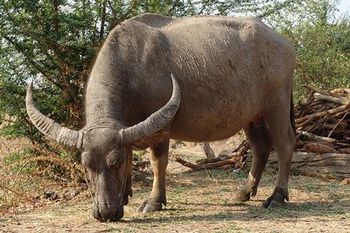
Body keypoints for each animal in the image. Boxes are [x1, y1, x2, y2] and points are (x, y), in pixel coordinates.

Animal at [26, 13, 296, 221]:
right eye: (86, 166)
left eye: (115, 163)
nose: (105, 213)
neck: (133, 67)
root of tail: (283, 42)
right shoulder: (127, 127)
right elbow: (131, 153)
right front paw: (126, 194)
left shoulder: (160, 128)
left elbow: (158, 162)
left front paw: (154, 201)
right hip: (252, 116)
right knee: (260, 147)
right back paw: (244, 192)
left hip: (277, 107)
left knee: (284, 144)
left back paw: (277, 195)